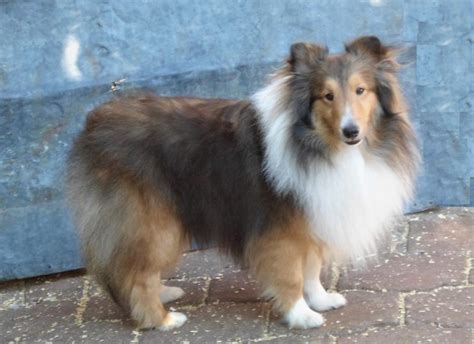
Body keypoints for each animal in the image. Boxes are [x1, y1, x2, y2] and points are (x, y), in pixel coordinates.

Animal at [65, 36, 418, 330]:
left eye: (361, 90)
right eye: (327, 96)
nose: (351, 131)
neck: (319, 146)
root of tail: (93, 125)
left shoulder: (311, 214)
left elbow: (312, 268)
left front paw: (320, 300)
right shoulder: (281, 230)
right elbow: (292, 276)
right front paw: (302, 315)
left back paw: (164, 293)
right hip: (155, 224)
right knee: (136, 275)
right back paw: (162, 320)